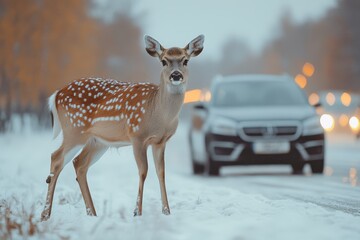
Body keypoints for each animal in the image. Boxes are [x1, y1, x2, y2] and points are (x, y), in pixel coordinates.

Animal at [40, 34, 204, 220]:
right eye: (163, 61)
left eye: (185, 60)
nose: (176, 75)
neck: (158, 114)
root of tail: (57, 94)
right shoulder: (137, 135)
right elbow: (143, 171)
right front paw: (137, 212)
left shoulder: (160, 141)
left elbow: (161, 172)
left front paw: (167, 211)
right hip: (74, 130)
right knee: (56, 157)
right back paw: (45, 215)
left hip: (97, 141)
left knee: (79, 163)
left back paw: (92, 213)